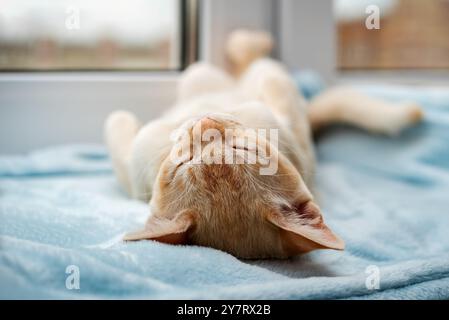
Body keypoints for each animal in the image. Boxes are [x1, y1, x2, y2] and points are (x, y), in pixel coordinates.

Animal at [104, 30, 420, 258]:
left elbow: (275, 83)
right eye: (184, 162)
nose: (205, 124)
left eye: (243, 149)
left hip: (202, 76)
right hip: (203, 77)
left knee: (248, 67)